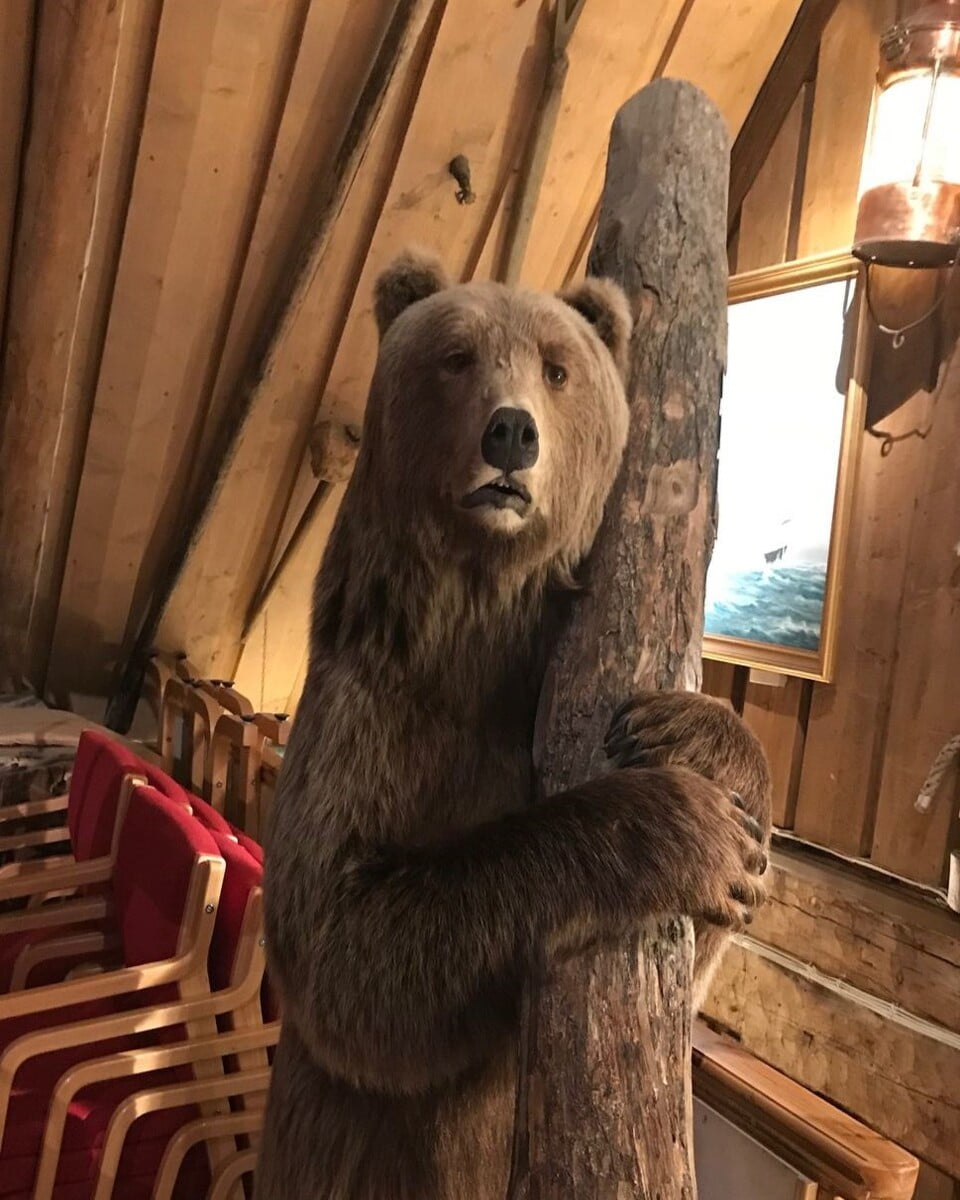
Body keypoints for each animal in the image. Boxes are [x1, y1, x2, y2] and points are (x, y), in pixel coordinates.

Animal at [256, 250, 771, 1200]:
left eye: (557, 368)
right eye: (455, 356)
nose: (510, 435)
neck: (482, 626)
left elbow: (704, 957)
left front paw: (701, 752)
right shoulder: (373, 709)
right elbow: (344, 945)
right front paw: (684, 826)